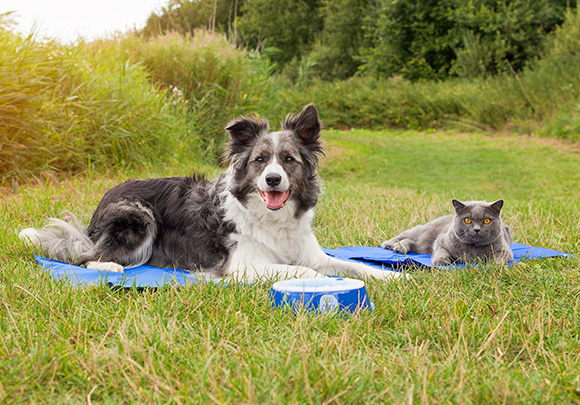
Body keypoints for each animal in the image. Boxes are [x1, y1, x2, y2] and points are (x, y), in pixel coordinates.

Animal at [21, 104, 404, 280]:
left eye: (289, 160)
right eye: (260, 160)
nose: (273, 180)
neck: (273, 220)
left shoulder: (311, 253)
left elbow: (346, 264)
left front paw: (391, 277)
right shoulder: (246, 266)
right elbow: (307, 273)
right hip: (138, 216)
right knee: (85, 257)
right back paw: (111, 267)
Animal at [382, 199, 516, 266]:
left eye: (487, 221)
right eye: (467, 220)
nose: (477, 229)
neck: (473, 249)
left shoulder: (505, 250)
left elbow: (498, 258)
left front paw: (492, 265)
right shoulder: (440, 241)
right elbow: (442, 251)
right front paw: (441, 261)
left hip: (422, 246)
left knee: (412, 242)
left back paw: (400, 248)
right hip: (423, 231)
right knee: (405, 235)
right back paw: (390, 245)